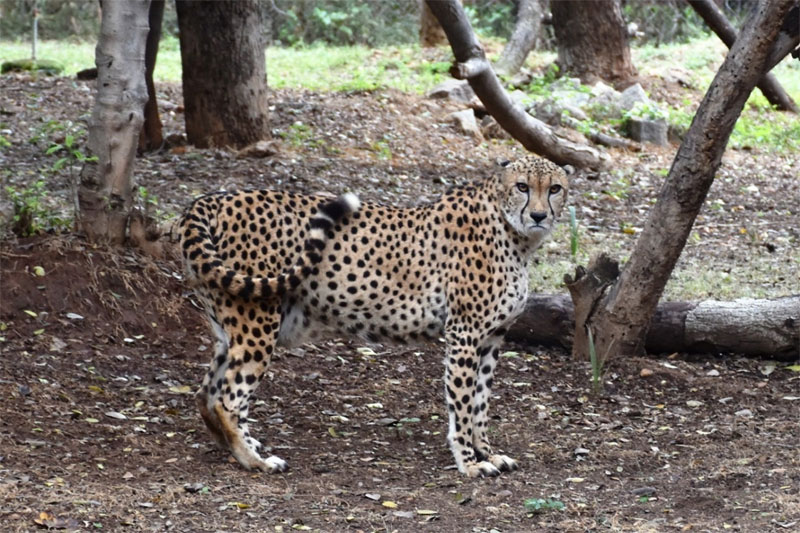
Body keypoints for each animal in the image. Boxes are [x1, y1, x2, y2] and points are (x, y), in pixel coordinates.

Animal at [181, 155, 568, 478]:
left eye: (555, 189)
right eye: (522, 186)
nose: (538, 216)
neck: (515, 235)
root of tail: (214, 198)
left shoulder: (492, 337)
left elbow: (481, 402)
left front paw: (487, 452)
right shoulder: (465, 333)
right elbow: (461, 403)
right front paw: (470, 463)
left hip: (231, 327)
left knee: (206, 394)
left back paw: (236, 447)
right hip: (257, 324)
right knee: (228, 399)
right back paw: (255, 461)